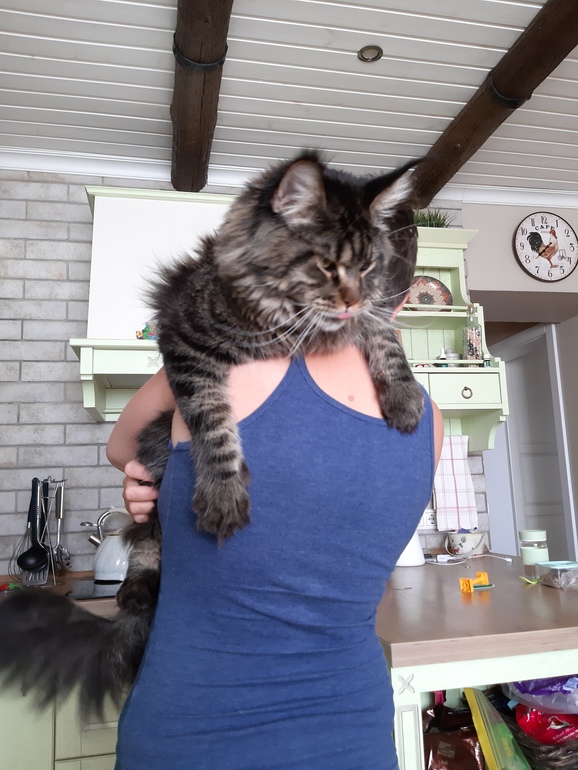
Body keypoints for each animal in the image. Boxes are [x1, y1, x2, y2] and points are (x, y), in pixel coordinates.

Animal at [0, 152, 423, 716]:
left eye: (368, 267)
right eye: (326, 265)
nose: (352, 298)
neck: (285, 319)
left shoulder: (364, 317)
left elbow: (385, 336)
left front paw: (405, 396)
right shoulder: (187, 346)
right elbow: (214, 424)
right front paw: (223, 495)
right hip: (155, 464)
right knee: (145, 544)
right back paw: (134, 591)